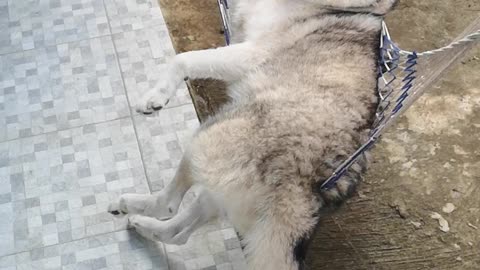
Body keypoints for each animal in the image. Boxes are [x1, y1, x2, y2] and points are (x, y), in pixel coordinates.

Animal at [109, 1, 398, 268]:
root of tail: (309, 191)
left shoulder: (251, 51)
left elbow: (183, 59)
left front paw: (155, 96)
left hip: (208, 137)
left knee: (168, 204)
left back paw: (131, 205)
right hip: (223, 190)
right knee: (177, 233)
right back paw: (140, 223)